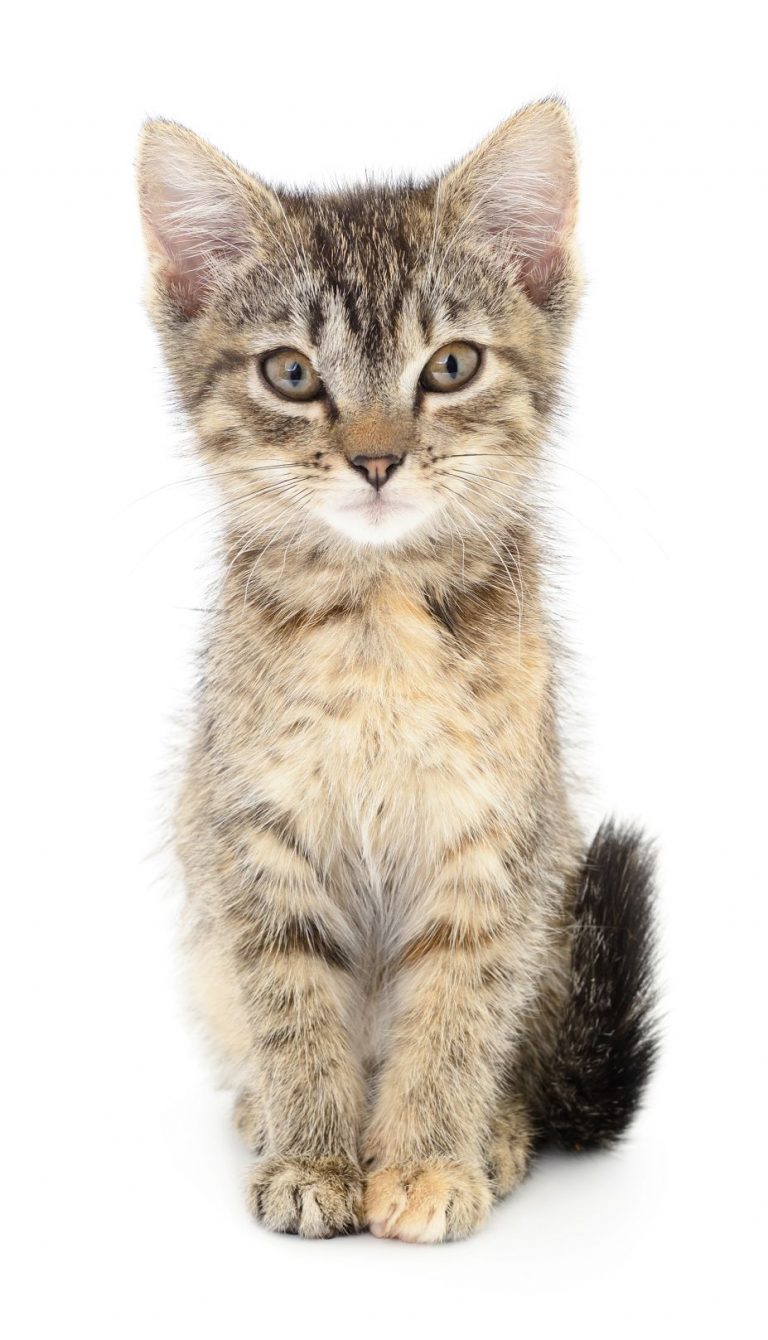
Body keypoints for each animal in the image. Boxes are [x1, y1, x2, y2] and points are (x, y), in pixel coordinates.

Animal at [136, 99, 654, 1238]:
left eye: (450, 365)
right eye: (291, 373)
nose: (377, 458)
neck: (376, 619)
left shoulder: (494, 844)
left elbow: (456, 1013)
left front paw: (425, 1162)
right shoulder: (257, 840)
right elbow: (292, 1008)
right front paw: (315, 1159)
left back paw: (494, 1132)